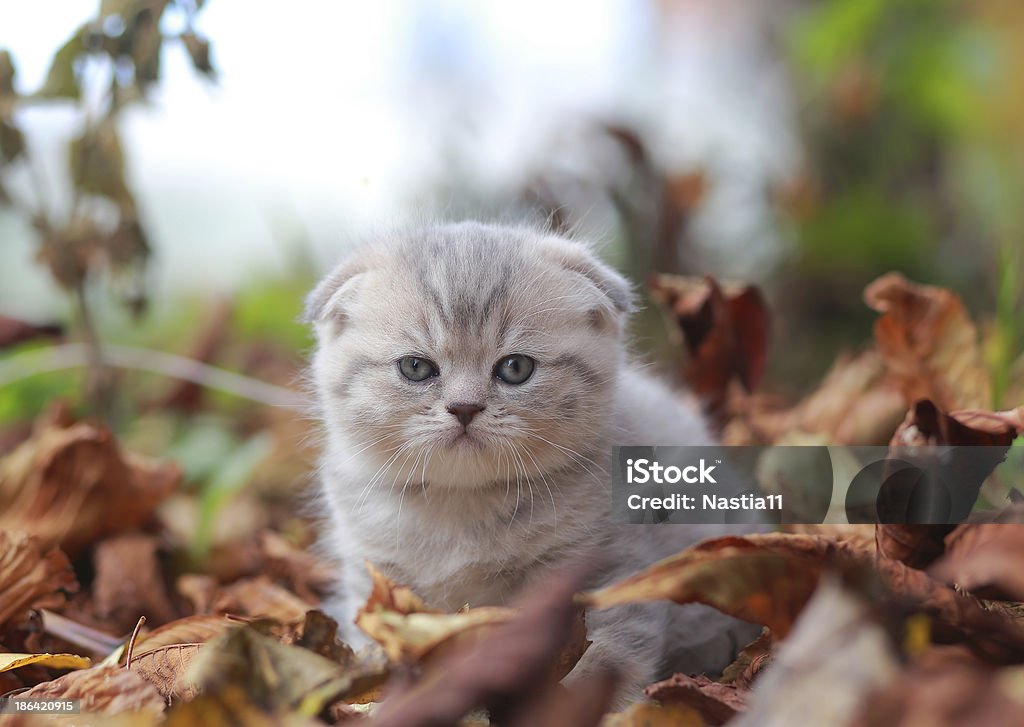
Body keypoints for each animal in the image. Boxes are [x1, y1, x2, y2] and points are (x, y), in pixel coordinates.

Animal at [303, 223, 761, 700]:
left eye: (515, 368)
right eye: (415, 367)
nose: (464, 407)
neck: (461, 508)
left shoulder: (608, 568)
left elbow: (608, 656)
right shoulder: (376, 578)